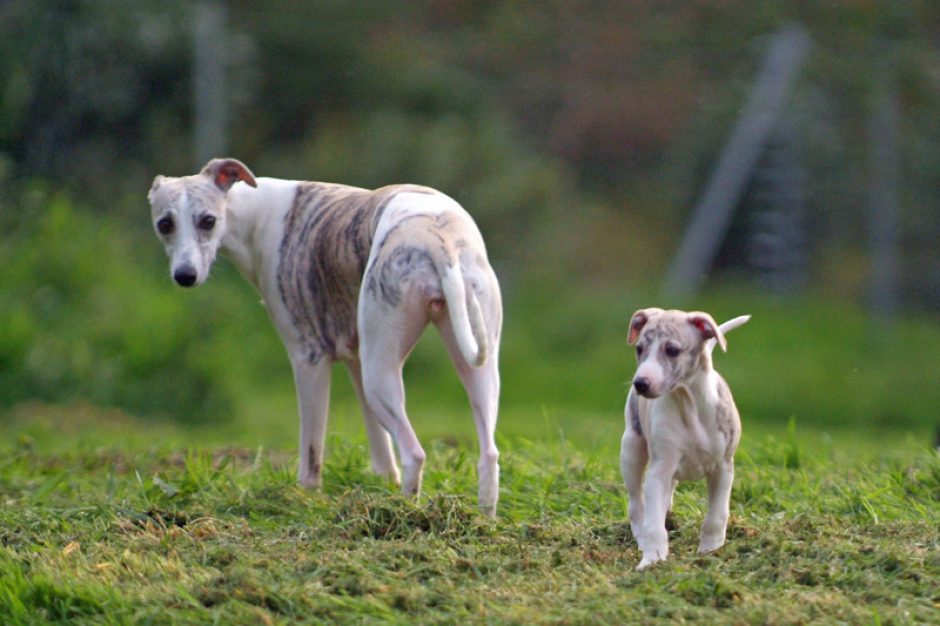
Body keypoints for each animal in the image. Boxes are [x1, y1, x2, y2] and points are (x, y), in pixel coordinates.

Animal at [149, 158, 500, 516]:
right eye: (165, 224)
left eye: (208, 220)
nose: (185, 276)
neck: (255, 213)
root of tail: (439, 241)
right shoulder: (355, 358)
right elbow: (381, 452)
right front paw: (380, 486)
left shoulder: (309, 358)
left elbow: (311, 454)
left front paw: (304, 499)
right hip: (474, 365)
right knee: (488, 454)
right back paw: (482, 518)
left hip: (379, 374)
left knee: (414, 452)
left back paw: (405, 513)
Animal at [620, 308, 752, 564]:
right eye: (639, 349)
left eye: (672, 350)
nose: (640, 383)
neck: (688, 405)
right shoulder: (659, 469)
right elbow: (653, 522)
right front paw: (653, 559)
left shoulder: (723, 467)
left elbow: (717, 515)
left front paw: (710, 551)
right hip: (631, 448)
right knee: (636, 503)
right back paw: (641, 536)